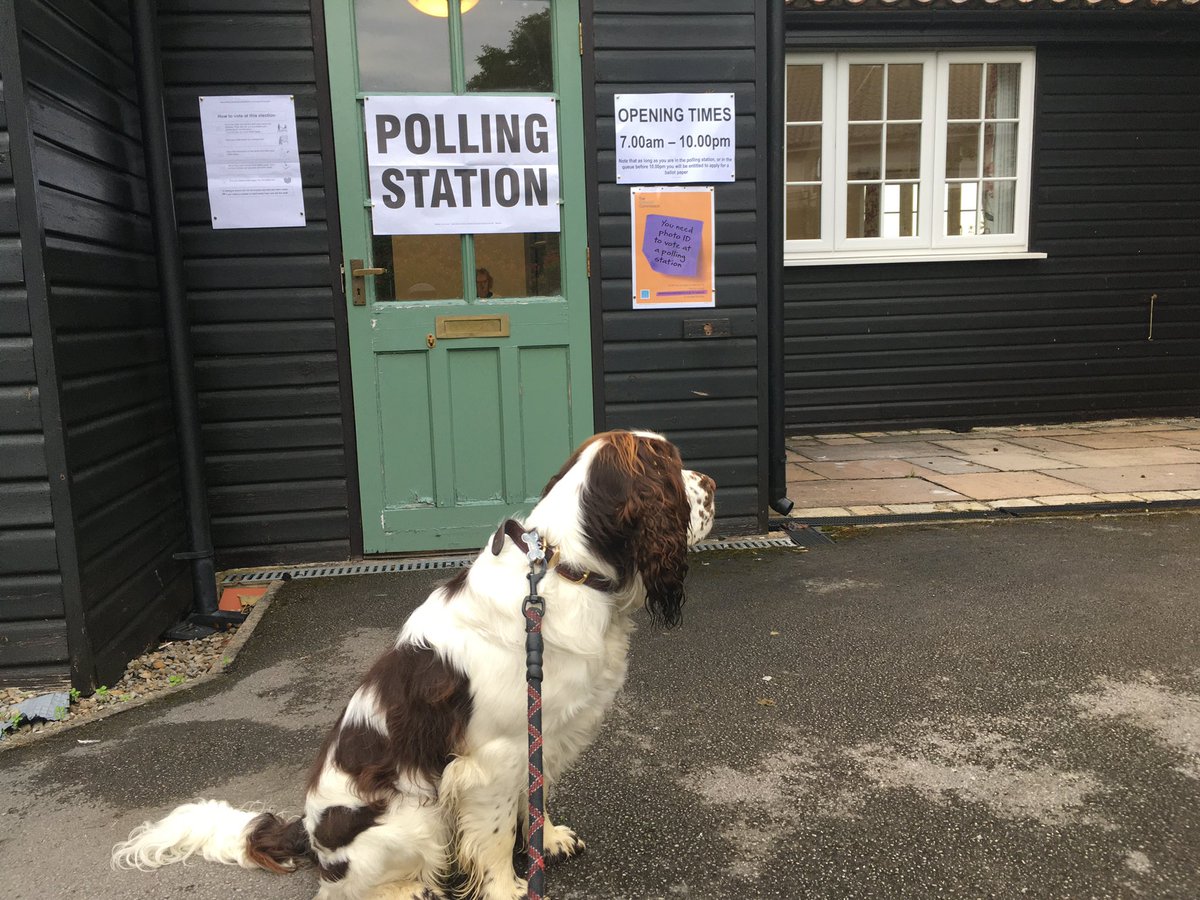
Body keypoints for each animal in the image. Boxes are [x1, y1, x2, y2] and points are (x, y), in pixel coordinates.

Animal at [114, 429, 710, 900]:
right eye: (674, 466)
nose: (714, 484)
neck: (562, 569)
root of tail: (307, 832)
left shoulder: (538, 735)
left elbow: (533, 801)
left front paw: (550, 840)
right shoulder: (493, 756)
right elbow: (497, 835)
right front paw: (510, 888)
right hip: (412, 815)